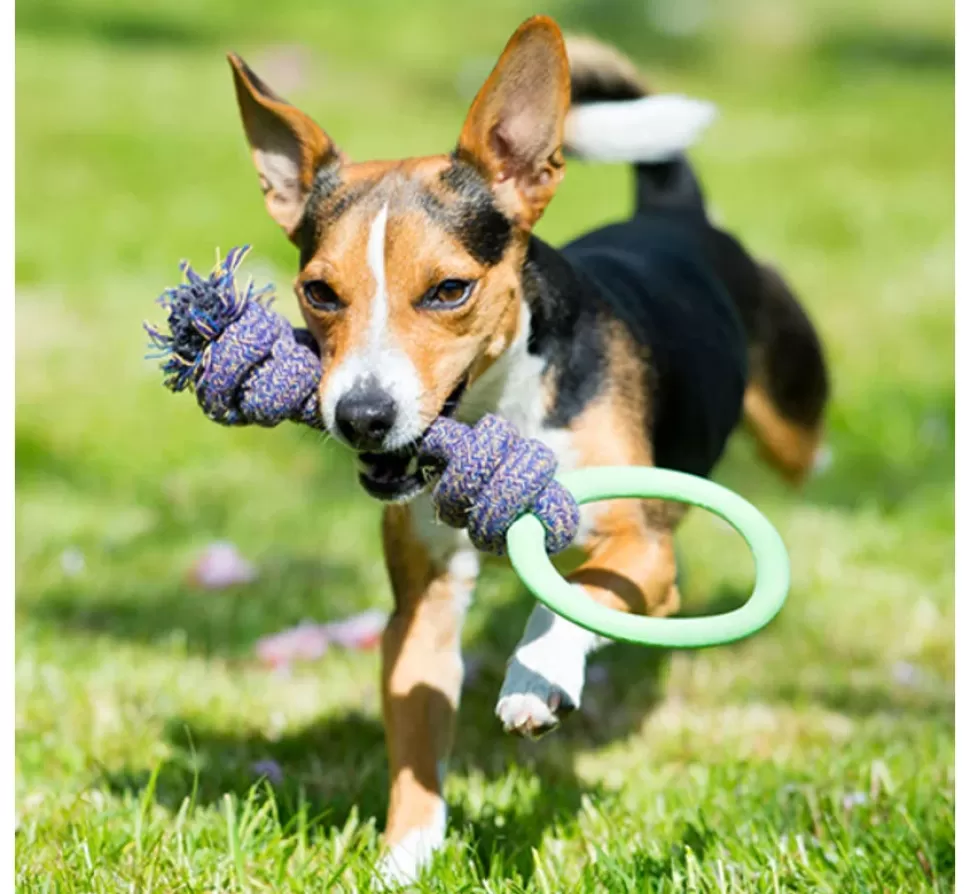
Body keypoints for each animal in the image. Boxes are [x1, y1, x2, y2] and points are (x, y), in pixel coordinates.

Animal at [225, 15, 824, 888]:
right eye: (319, 292)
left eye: (449, 290)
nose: (362, 416)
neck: (499, 412)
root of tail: (672, 211)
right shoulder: (424, 602)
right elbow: (416, 736)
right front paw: (405, 856)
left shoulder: (644, 554)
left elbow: (571, 595)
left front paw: (537, 679)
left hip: (790, 424)